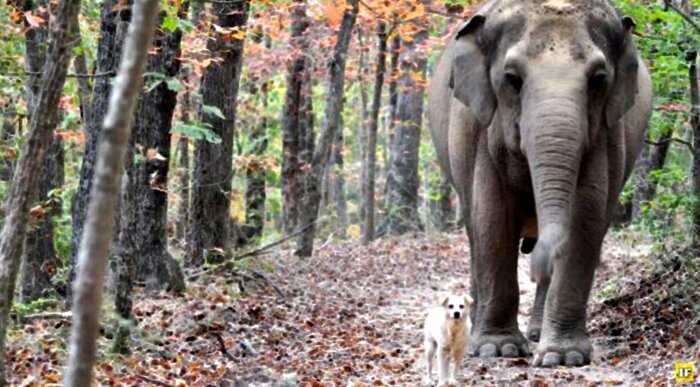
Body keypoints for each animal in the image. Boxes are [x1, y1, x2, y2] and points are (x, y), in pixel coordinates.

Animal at [426, 0, 652, 368]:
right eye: (512, 78)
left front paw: (564, 356)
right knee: (475, 232)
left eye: (598, 79)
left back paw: (535, 333)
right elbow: (493, 217)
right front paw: (497, 349)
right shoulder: (476, 127)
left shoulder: (607, 134)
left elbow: (586, 216)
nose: (536, 262)